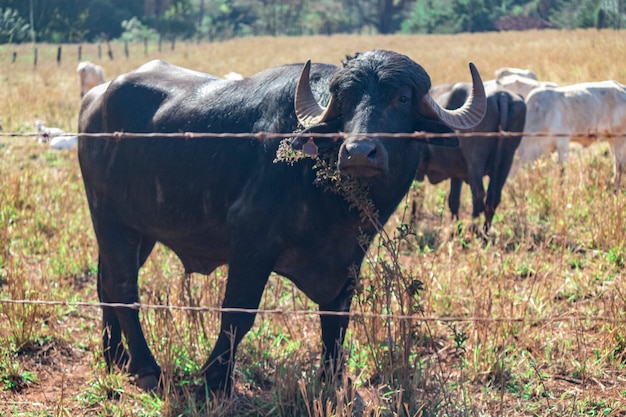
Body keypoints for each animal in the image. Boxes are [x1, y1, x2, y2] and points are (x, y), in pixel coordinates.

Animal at [78, 50, 486, 394]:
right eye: (347, 101)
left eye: (401, 99)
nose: (358, 152)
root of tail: (94, 98)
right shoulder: (251, 243)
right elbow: (237, 315)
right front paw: (214, 381)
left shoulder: (350, 256)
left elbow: (336, 320)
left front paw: (333, 380)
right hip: (110, 219)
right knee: (122, 286)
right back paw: (146, 367)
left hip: (138, 230)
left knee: (106, 282)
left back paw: (115, 356)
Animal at [416, 82, 524, 229]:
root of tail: (501, 95)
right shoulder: (456, 173)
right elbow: (453, 201)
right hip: (507, 160)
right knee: (493, 198)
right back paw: (484, 232)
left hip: (476, 159)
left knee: (478, 194)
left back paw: (474, 230)